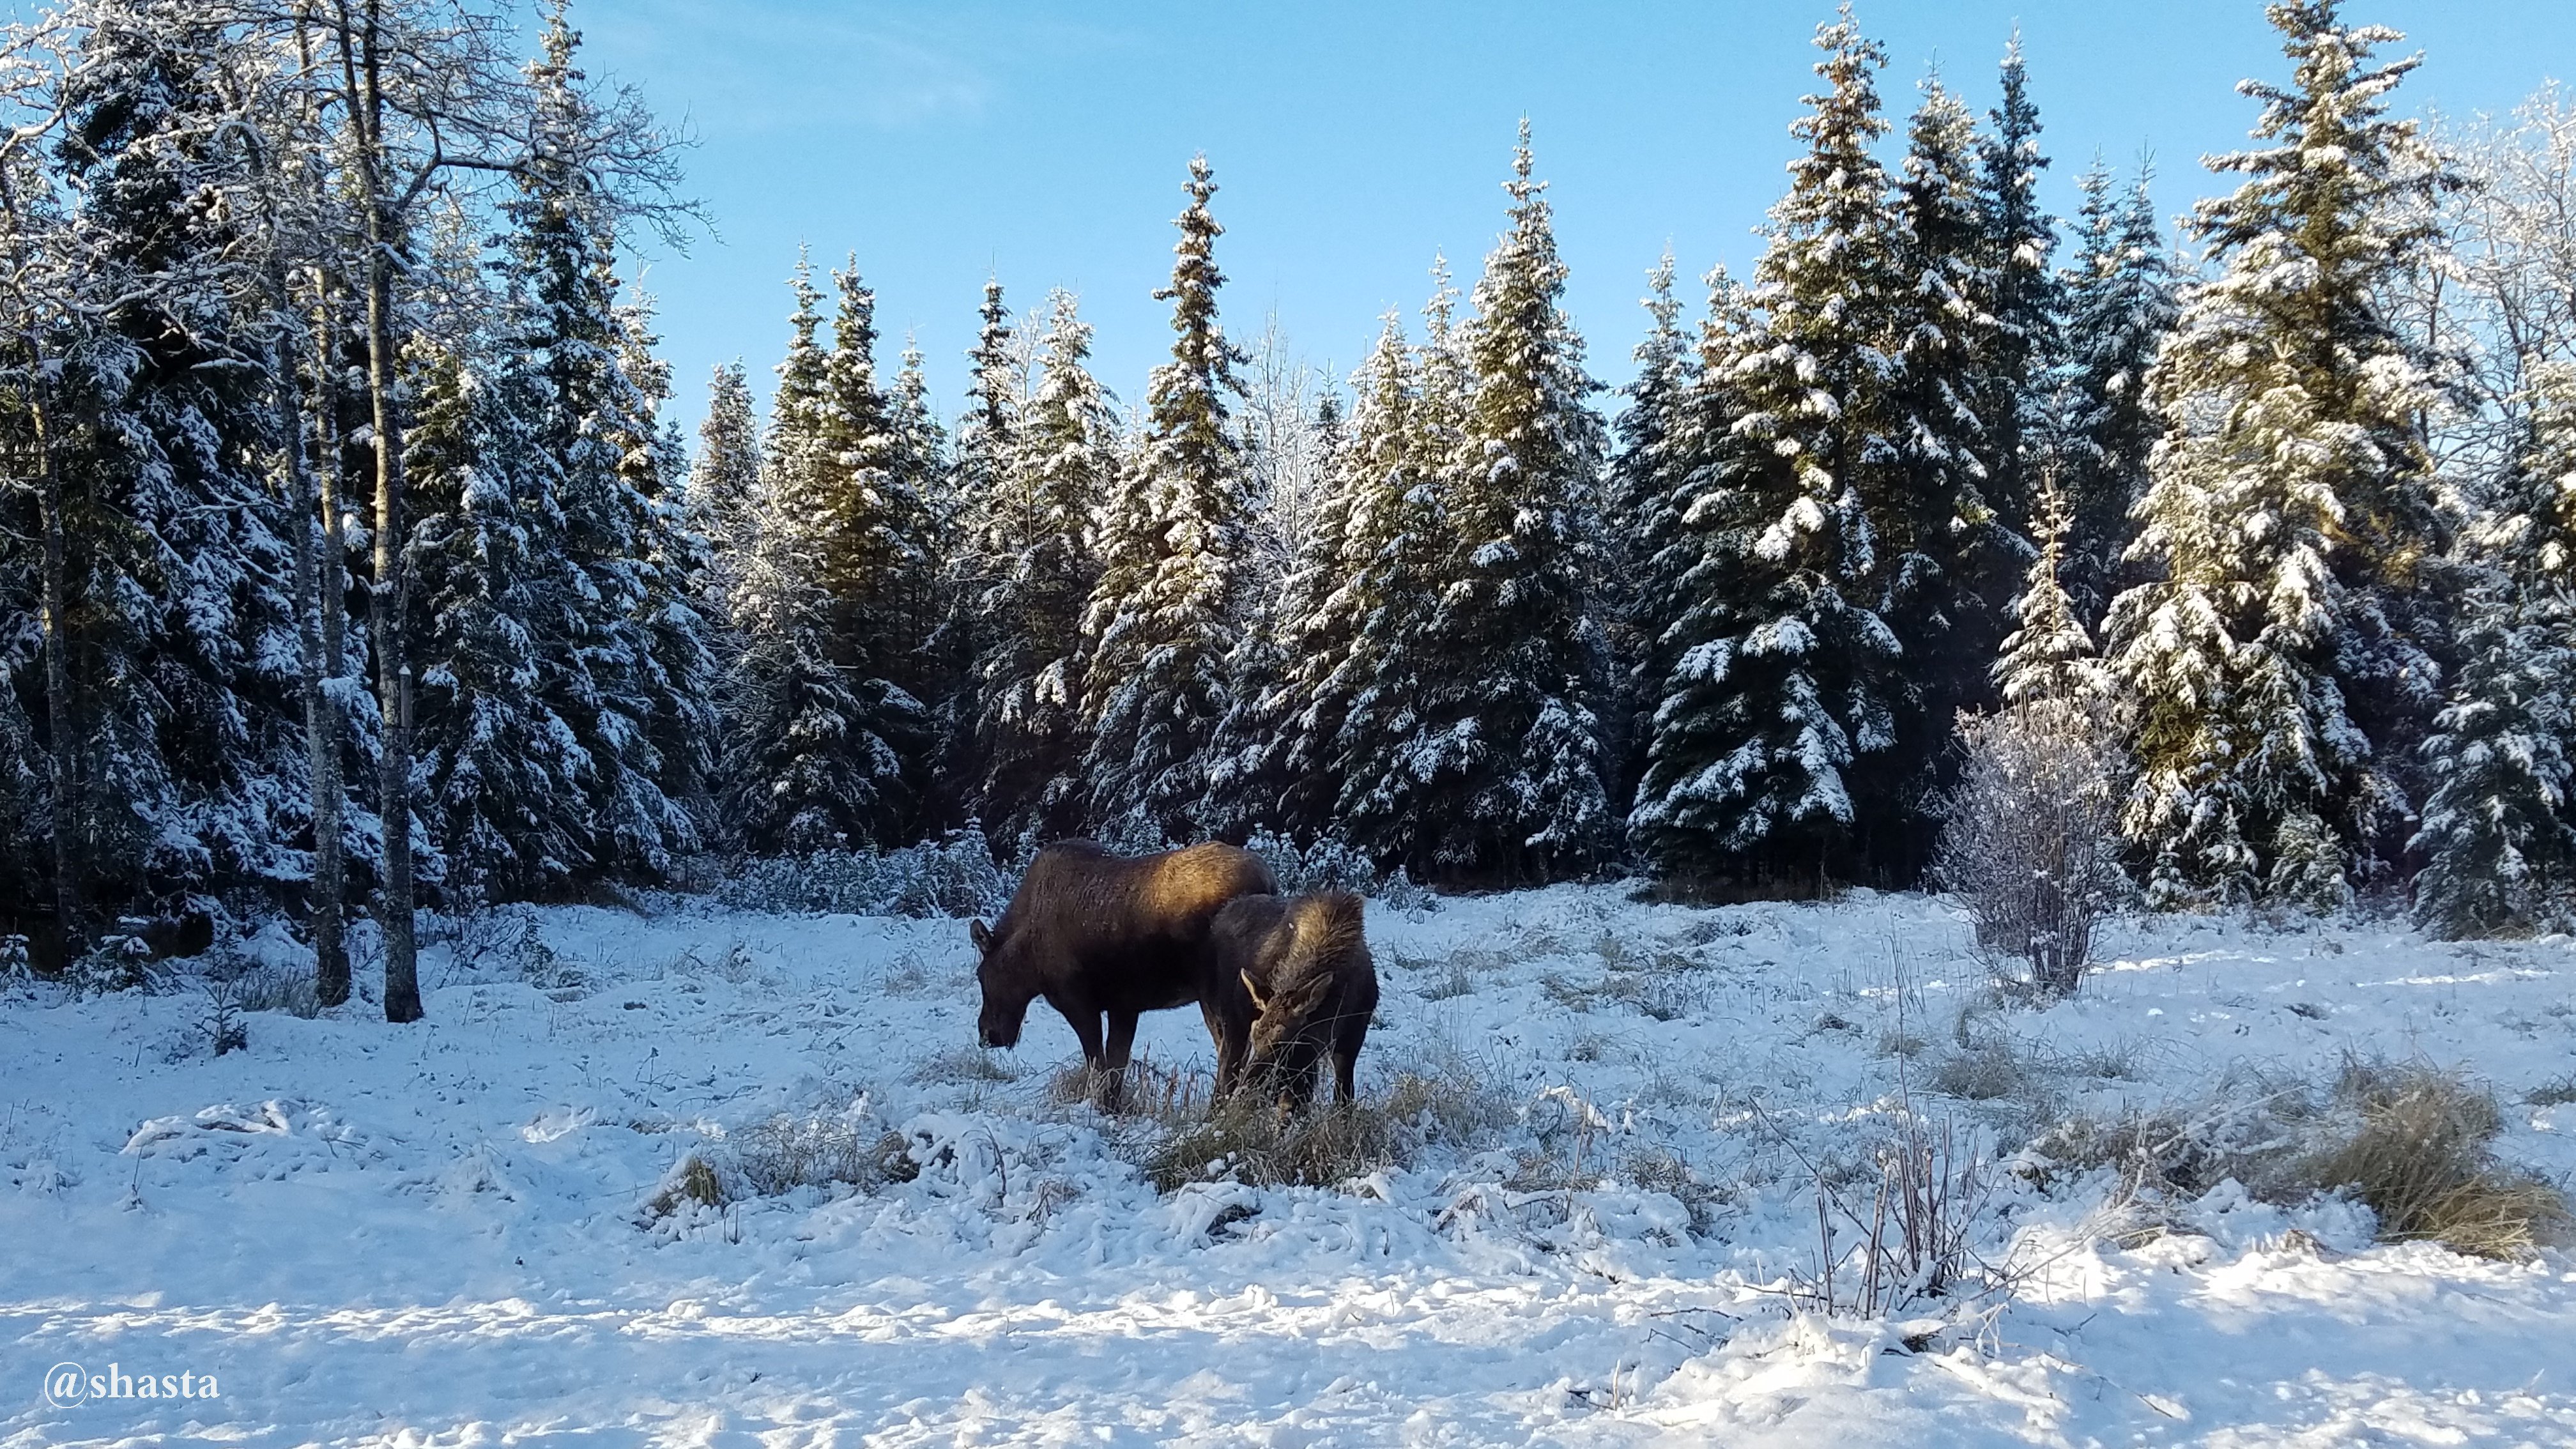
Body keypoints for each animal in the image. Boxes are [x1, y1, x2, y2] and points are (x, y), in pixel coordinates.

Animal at [969, 835, 1272, 1103]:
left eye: (982, 976)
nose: (986, 1035)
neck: (1028, 954)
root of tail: (1268, 881)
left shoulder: (1078, 1003)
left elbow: (1098, 1065)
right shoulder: (1124, 1007)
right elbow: (1116, 1067)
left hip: (1217, 994)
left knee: (1231, 1056)